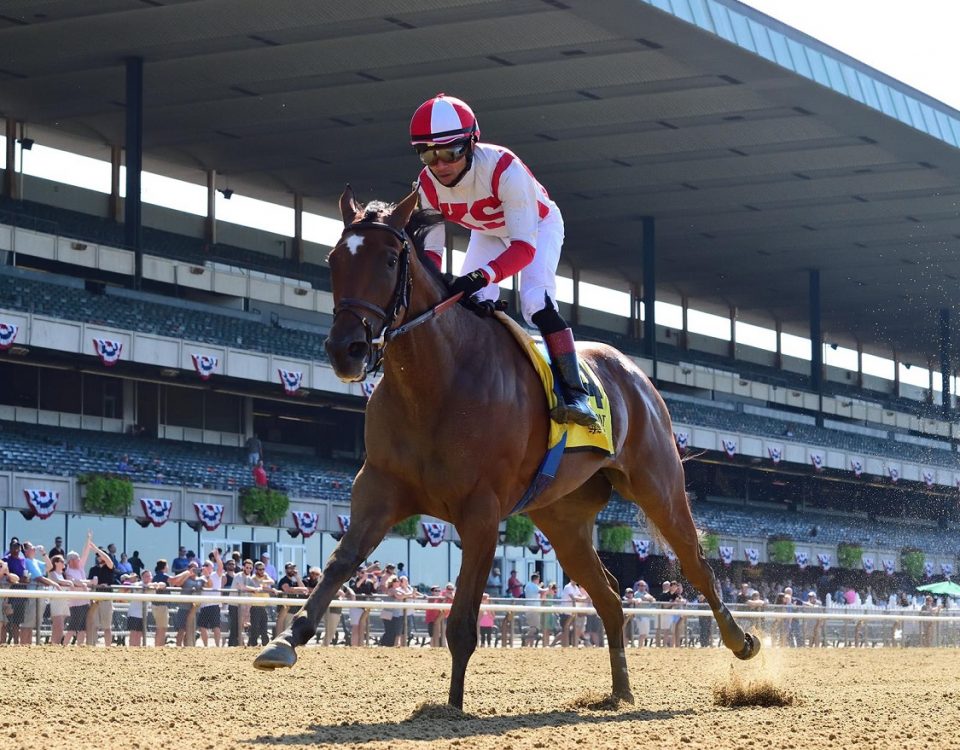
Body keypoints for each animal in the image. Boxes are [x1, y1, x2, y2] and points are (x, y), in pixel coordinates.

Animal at [253, 187, 756, 712]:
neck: (437, 382)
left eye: (390, 259)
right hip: (563, 519)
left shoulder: (481, 511)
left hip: (658, 484)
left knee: (696, 565)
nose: (345, 349)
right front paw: (285, 640)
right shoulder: (380, 487)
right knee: (611, 596)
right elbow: (341, 561)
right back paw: (620, 691)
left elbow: (461, 622)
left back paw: (741, 642)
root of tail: (634, 371)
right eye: (333, 259)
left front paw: (452, 707)